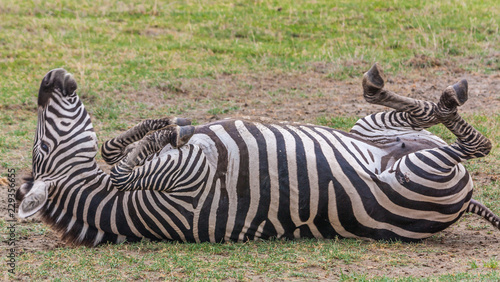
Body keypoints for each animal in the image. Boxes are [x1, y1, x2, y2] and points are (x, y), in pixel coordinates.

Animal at [16, 65, 500, 246]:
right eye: (43, 147)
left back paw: (422, 94)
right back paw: (433, 97)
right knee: (475, 147)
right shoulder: (185, 178)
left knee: (433, 125)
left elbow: (110, 149)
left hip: (376, 132)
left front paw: (168, 124)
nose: (49, 77)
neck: (127, 208)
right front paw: (173, 130)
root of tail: (464, 202)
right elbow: (119, 168)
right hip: (426, 169)